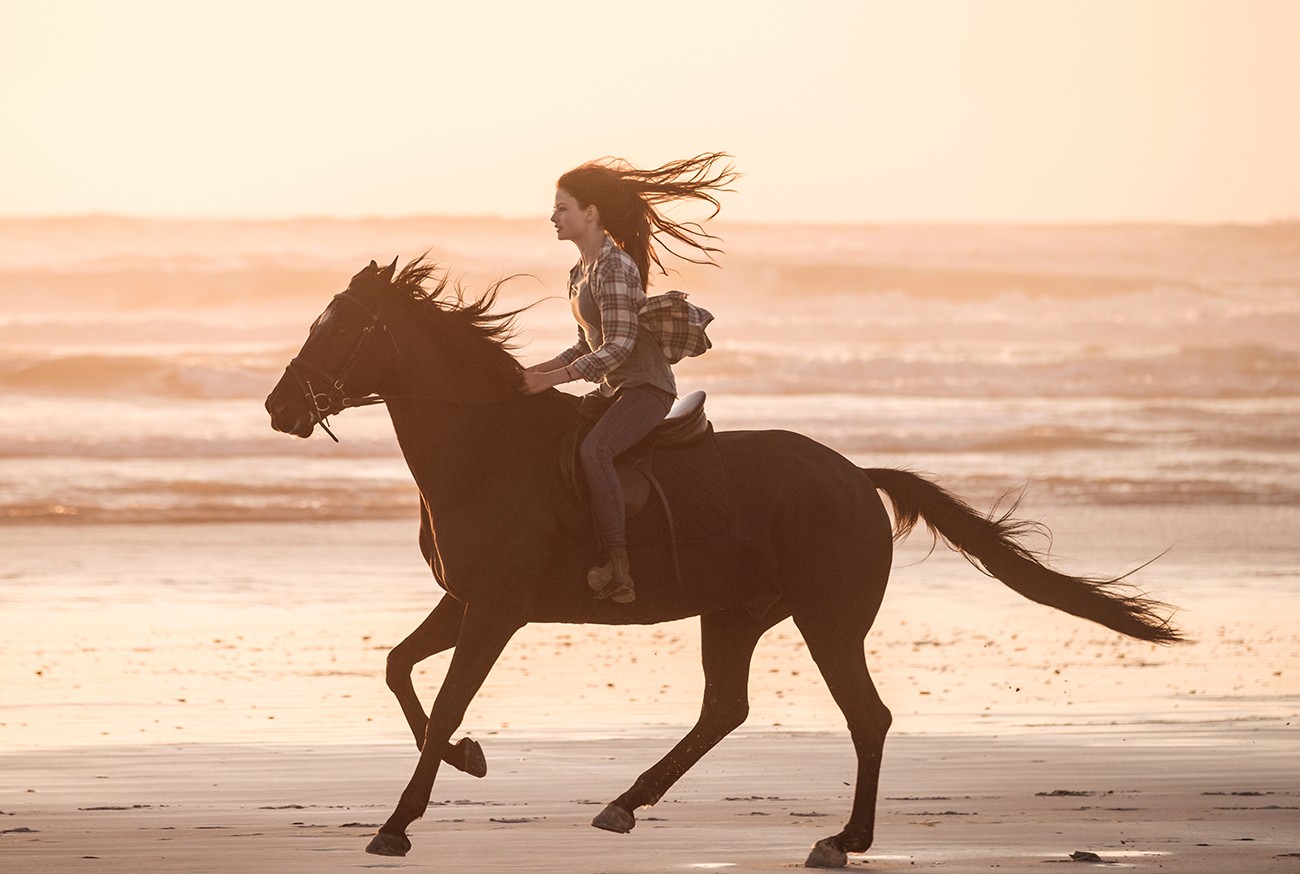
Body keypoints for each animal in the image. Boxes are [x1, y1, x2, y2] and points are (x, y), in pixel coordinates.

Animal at [261, 257, 1180, 868]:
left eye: (335, 327)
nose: (276, 408)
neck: (485, 448)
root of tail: (857, 476)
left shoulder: (497, 610)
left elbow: (445, 699)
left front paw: (396, 822)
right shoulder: (466, 602)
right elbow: (400, 671)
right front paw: (466, 758)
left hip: (827, 619)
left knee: (865, 716)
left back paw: (843, 839)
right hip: (736, 613)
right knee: (725, 709)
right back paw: (626, 804)